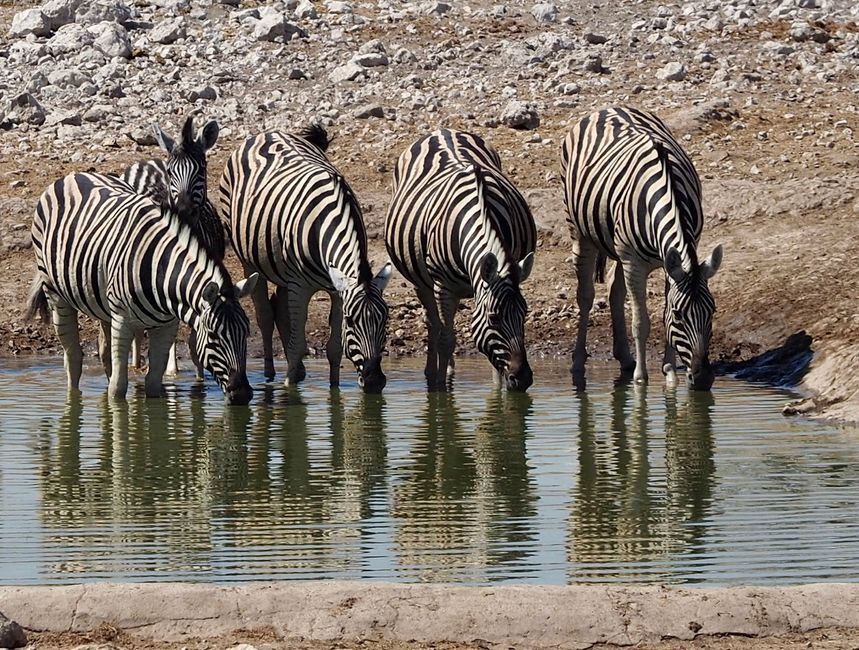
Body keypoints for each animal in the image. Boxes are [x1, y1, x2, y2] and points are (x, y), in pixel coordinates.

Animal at [28, 171, 260, 404]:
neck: (160, 272)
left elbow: (153, 384)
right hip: (56, 293)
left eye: (246, 332)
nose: (242, 395)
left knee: (104, 351)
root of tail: (73, 175)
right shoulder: (122, 321)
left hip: (102, 302)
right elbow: (118, 389)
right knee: (73, 358)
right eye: (213, 335)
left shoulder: (167, 326)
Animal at [119, 112, 225, 374]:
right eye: (171, 171)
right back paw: (136, 363)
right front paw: (171, 370)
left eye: (202, 169)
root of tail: (145, 162)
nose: (184, 210)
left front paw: (199, 373)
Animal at [218, 124, 394, 392]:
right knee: (265, 316)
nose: (375, 382)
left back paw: (298, 370)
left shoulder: (337, 290)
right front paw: (290, 389)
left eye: (385, 320)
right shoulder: (300, 286)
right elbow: (297, 344)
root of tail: (270, 132)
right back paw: (270, 373)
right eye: (351, 321)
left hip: (281, 268)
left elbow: (334, 348)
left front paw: (334, 390)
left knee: (279, 306)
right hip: (249, 260)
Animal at [384, 127, 536, 390]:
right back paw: (433, 373)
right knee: (434, 324)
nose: (524, 379)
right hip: (421, 282)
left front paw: (499, 393)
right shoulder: (444, 288)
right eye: (494, 318)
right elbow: (447, 340)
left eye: (524, 313)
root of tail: (442, 130)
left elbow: (494, 362)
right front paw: (440, 392)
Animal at [564, 106, 724, 390]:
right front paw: (641, 378)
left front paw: (669, 371)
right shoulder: (634, 262)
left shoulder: (670, 261)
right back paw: (578, 363)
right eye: (680, 316)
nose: (703, 379)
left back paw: (624, 358)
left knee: (614, 290)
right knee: (585, 296)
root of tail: (608, 107)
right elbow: (641, 321)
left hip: (617, 246)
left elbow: (660, 311)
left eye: (712, 311)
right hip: (580, 232)